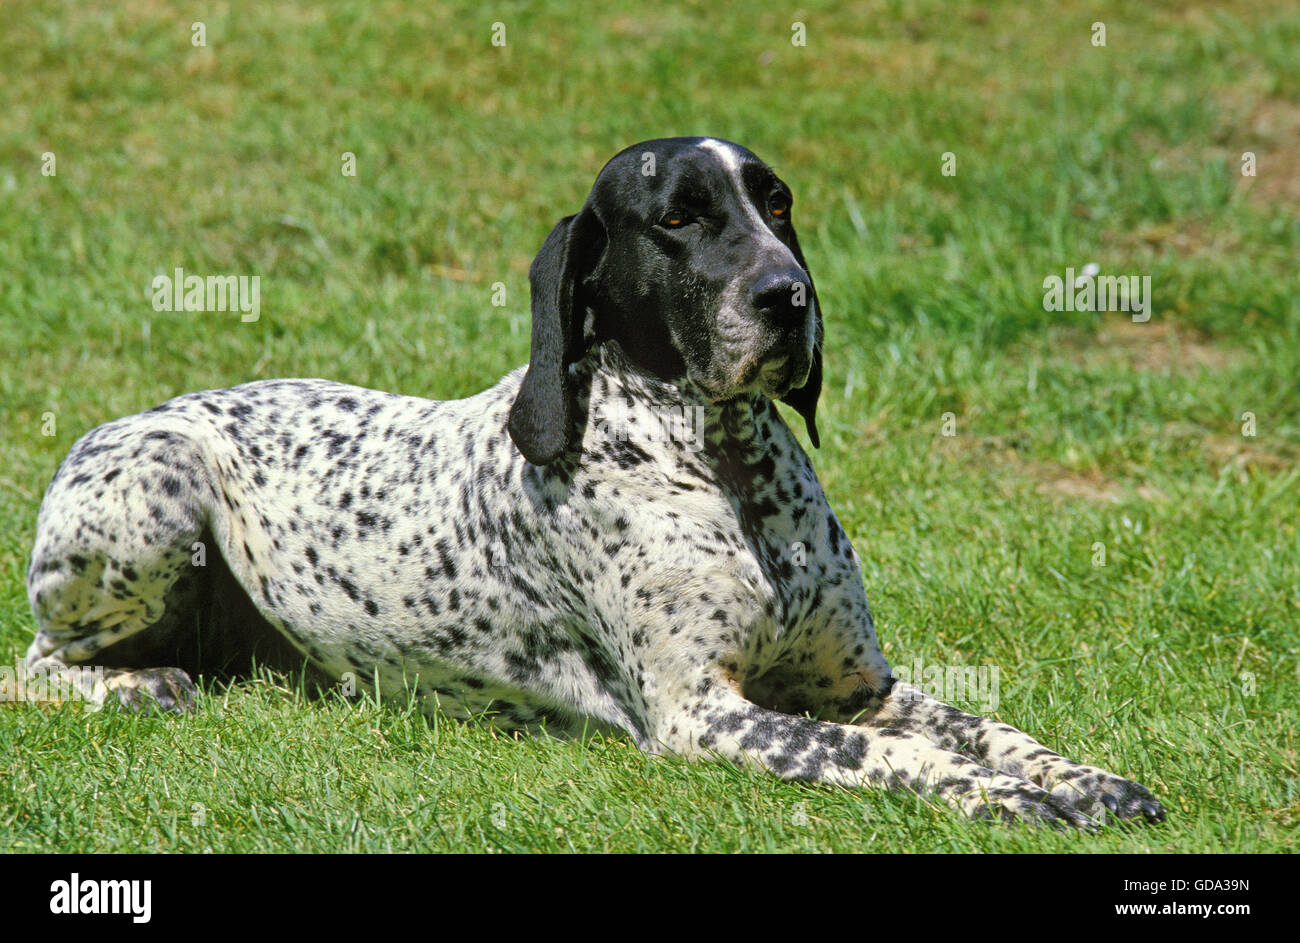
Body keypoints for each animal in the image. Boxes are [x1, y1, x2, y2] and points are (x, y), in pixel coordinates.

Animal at [25, 135, 1164, 822]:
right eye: (678, 218)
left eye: (777, 202)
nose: (788, 296)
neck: (724, 469)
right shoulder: (704, 713)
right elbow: (887, 757)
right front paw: (997, 796)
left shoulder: (861, 687)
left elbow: (995, 729)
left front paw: (1087, 780)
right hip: (159, 485)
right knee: (35, 666)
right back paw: (135, 685)